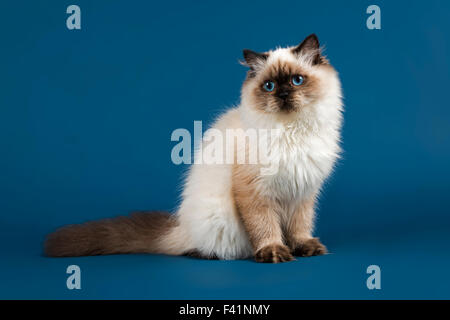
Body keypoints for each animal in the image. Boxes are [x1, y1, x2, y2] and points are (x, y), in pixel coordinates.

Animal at [44, 34, 342, 262]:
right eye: (269, 86)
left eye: (296, 81)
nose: (282, 95)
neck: (292, 131)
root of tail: (180, 226)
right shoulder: (255, 191)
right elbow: (265, 228)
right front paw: (274, 252)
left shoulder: (303, 192)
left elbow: (300, 227)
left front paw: (304, 247)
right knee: (200, 247)